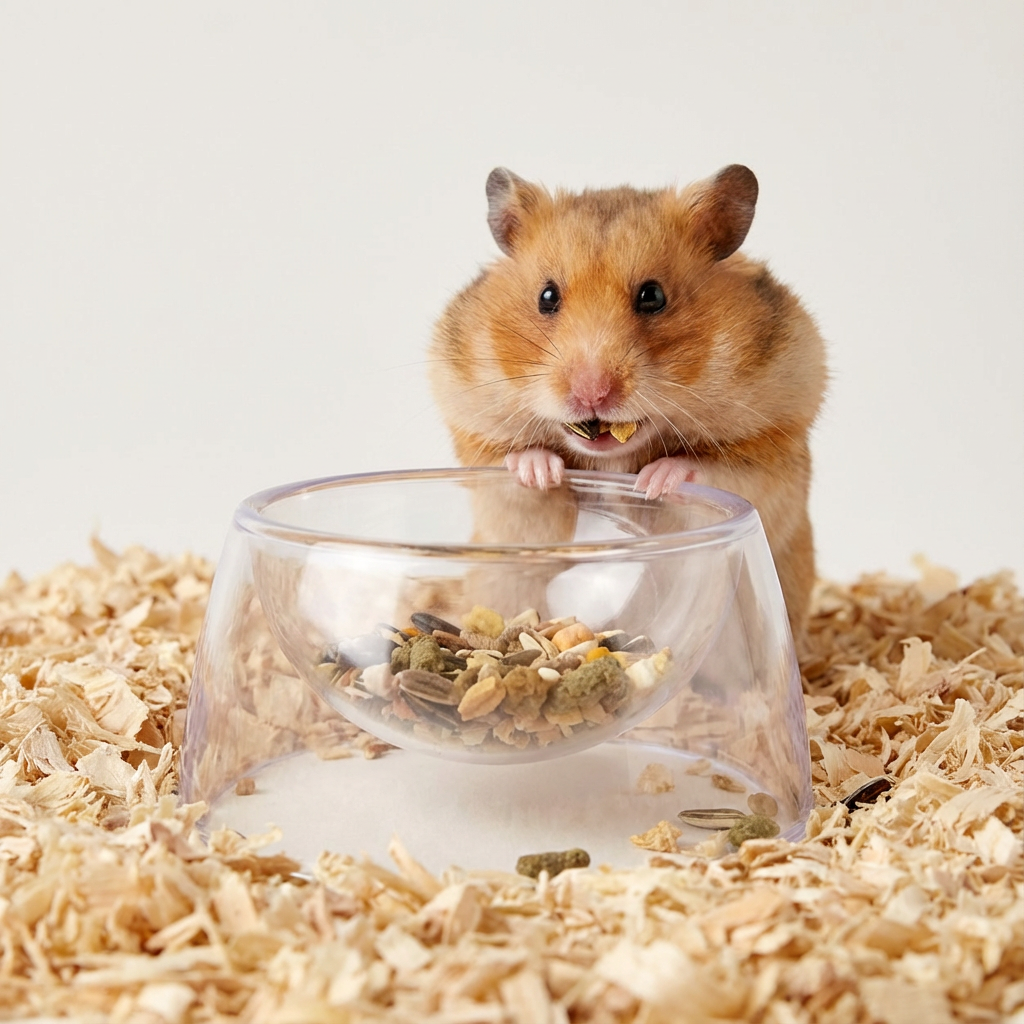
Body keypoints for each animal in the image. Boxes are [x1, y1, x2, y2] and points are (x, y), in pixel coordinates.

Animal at [429, 165, 827, 636]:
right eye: (547, 296)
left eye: (652, 296)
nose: (592, 393)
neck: (609, 459)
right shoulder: (481, 448)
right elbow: (517, 473)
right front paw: (542, 470)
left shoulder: (768, 449)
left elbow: (705, 468)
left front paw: (652, 481)